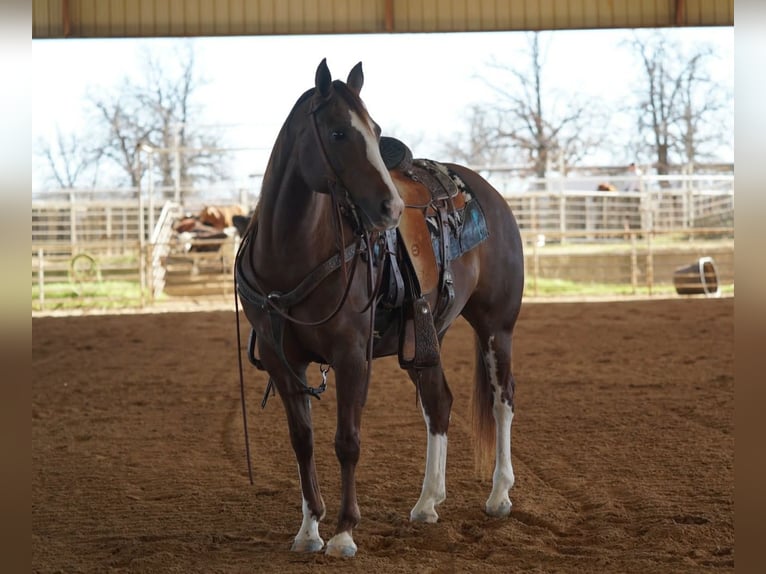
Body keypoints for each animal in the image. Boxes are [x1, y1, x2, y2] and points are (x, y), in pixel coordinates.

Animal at [234, 59, 524, 558]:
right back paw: (428, 503)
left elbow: (347, 441)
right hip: (427, 337)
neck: (292, 255)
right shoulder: (281, 360)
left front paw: (344, 533)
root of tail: (490, 194)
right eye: (337, 133)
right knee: (438, 403)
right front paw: (309, 529)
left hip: (496, 327)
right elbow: (302, 441)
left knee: (502, 398)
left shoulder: (352, 355)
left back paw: (499, 495)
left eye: (375, 129)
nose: (390, 207)